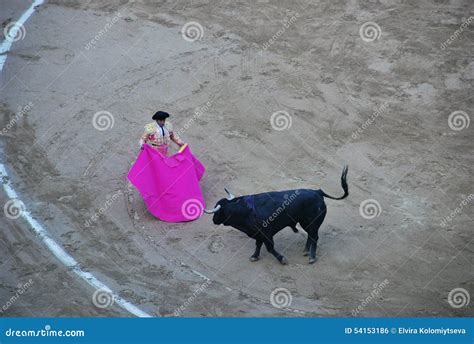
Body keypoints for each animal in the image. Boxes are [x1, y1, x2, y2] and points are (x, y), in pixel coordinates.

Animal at [205, 165, 348, 264]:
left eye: (218, 212)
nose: (213, 220)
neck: (245, 210)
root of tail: (318, 192)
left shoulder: (266, 233)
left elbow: (269, 248)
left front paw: (282, 259)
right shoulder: (258, 234)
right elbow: (258, 245)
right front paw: (254, 257)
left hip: (312, 222)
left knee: (314, 237)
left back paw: (312, 258)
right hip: (305, 222)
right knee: (310, 235)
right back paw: (306, 251)